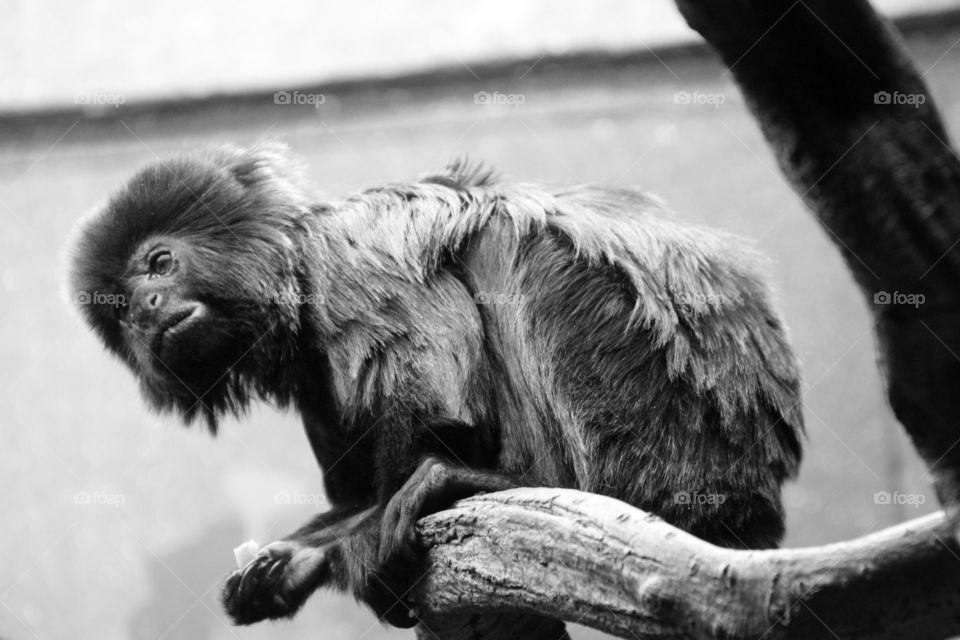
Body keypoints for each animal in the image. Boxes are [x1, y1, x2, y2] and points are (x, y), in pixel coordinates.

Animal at [68, 142, 803, 628]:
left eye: (161, 263)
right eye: (123, 308)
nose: (150, 308)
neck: (295, 288)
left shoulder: (346, 264)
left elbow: (435, 399)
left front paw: (355, 543)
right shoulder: (311, 376)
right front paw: (302, 555)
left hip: (653, 421)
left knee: (510, 243)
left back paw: (506, 481)